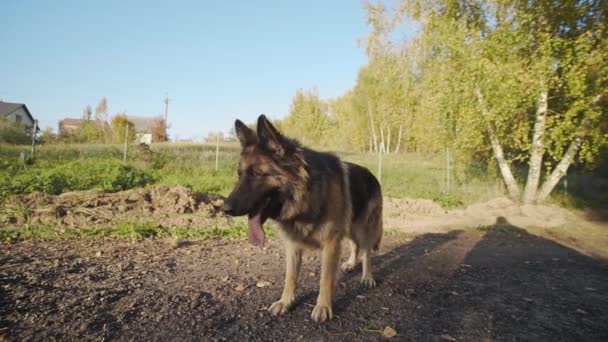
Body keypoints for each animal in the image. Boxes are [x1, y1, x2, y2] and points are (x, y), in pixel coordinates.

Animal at [226, 115, 382, 324]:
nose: (225, 208)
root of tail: (372, 174)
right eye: (239, 174)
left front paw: (323, 307)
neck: (307, 196)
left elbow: (325, 279)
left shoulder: (331, 244)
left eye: (257, 174)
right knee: (355, 246)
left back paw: (367, 276)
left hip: (363, 228)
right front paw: (285, 302)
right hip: (350, 227)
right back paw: (350, 263)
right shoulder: (293, 245)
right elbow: (290, 277)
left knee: (366, 251)